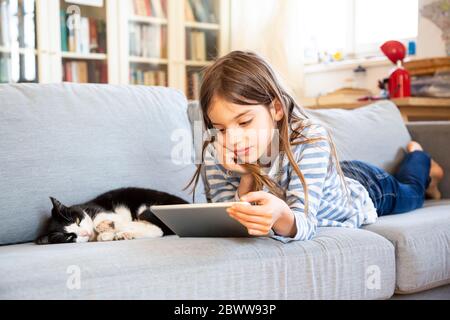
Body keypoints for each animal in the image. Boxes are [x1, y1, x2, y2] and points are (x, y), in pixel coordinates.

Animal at [35, 188, 188, 245]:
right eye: (69, 237)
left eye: (77, 221)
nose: (85, 233)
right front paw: (108, 234)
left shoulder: (101, 211)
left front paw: (106, 228)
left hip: (148, 208)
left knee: (157, 229)